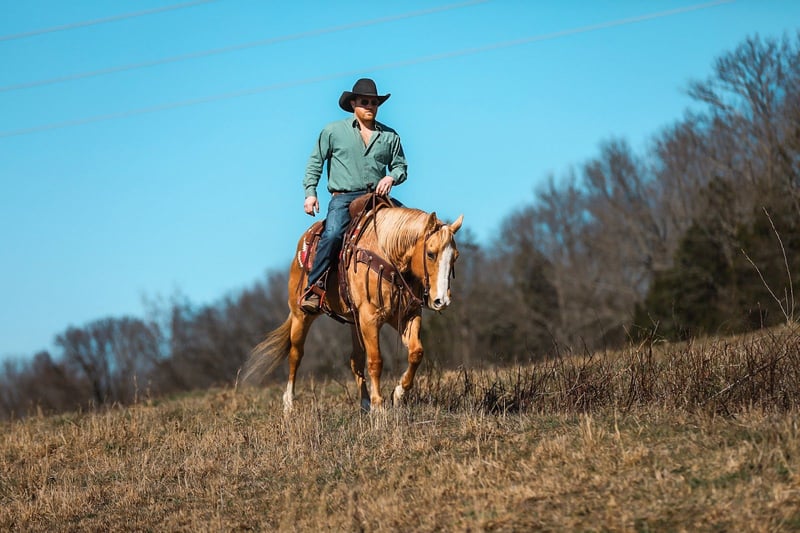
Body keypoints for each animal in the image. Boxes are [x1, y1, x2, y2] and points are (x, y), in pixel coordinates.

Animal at [242, 196, 463, 412]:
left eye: (455, 256)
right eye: (430, 254)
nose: (441, 300)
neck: (387, 254)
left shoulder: (406, 315)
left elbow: (416, 352)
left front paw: (398, 394)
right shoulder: (370, 317)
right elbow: (375, 360)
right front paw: (379, 406)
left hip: (354, 322)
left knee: (355, 359)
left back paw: (364, 403)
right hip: (301, 315)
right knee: (296, 354)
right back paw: (289, 404)